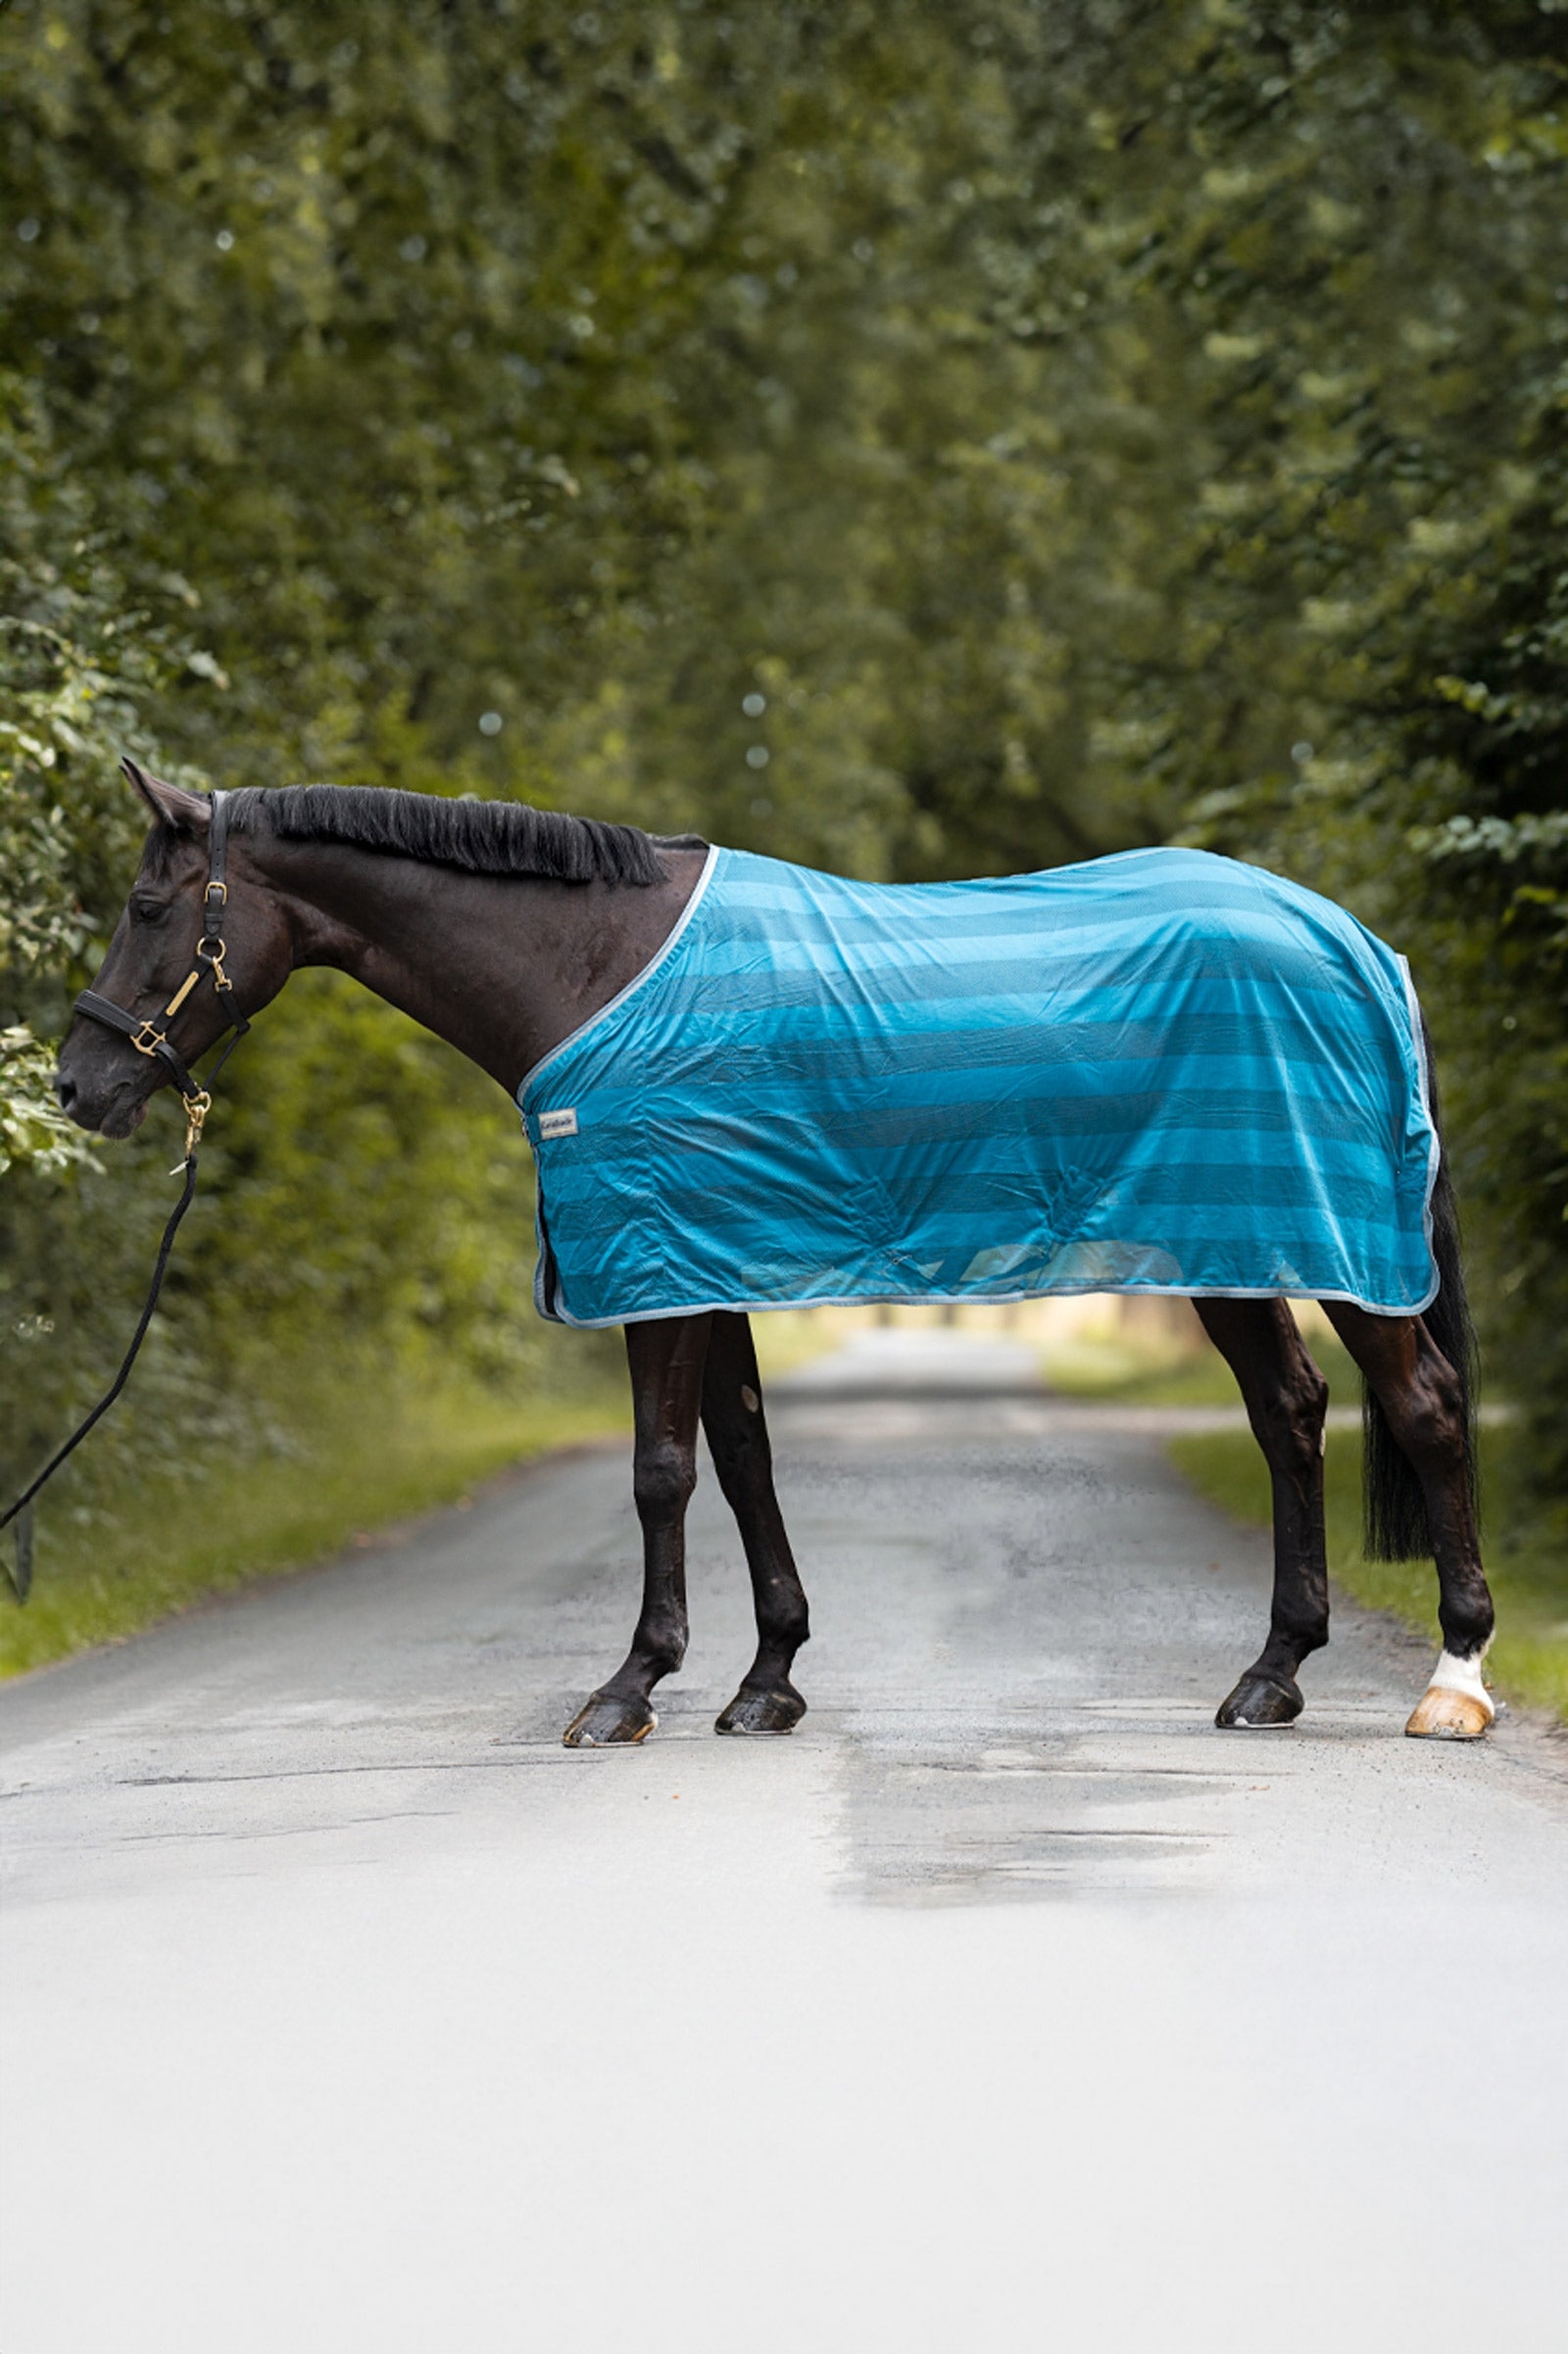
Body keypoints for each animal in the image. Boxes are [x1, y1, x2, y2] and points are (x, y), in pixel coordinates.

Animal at [54, 763, 1497, 1747]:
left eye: (144, 903)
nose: (74, 1085)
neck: (595, 968)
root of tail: (1357, 941)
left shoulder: (656, 1261)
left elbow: (660, 1472)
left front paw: (628, 1687)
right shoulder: (715, 1261)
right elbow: (743, 1458)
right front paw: (766, 1680)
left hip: (1324, 1240)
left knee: (1421, 1405)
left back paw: (1453, 1681)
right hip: (1229, 1241)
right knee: (1291, 1412)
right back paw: (1272, 1673)